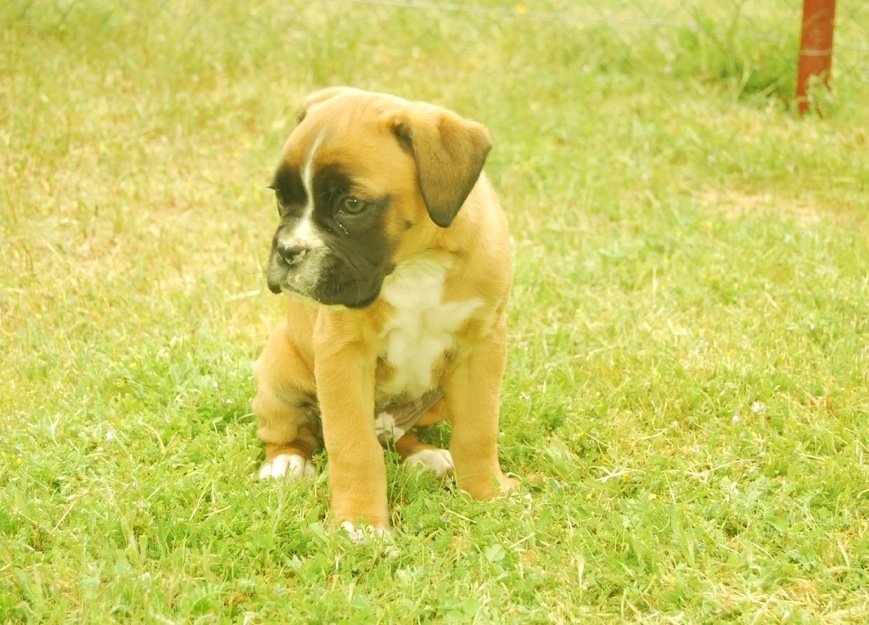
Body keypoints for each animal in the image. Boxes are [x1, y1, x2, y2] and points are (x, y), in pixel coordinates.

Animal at [249, 85, 516, 528]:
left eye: (352, 205)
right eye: (280, 197)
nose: (288, 252)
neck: (417, 263)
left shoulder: (482, 347)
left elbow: (478, 430)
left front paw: (488, 492)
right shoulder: (342, 354)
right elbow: (353, 447)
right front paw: (359, 521)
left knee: (395, 437)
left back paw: (424, 454)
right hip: (279, 365)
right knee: (286, 431)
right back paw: (286, 462)